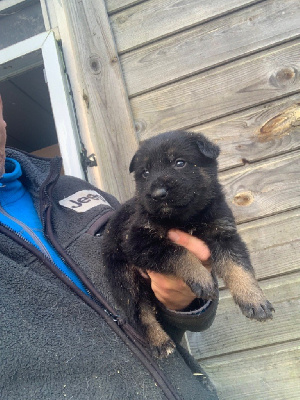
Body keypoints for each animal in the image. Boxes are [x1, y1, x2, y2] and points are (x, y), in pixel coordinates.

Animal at [102, 130, 276, 356]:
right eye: (145, 173)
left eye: (180, 163)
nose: (158, 194)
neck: (185, 219)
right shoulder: (138, 242)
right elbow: (177, 252)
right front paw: (201, 277)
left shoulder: (223, 233)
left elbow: (238, 267)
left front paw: (254, 298)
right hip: (125, 279)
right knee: (140, 312)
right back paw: (160, 341)